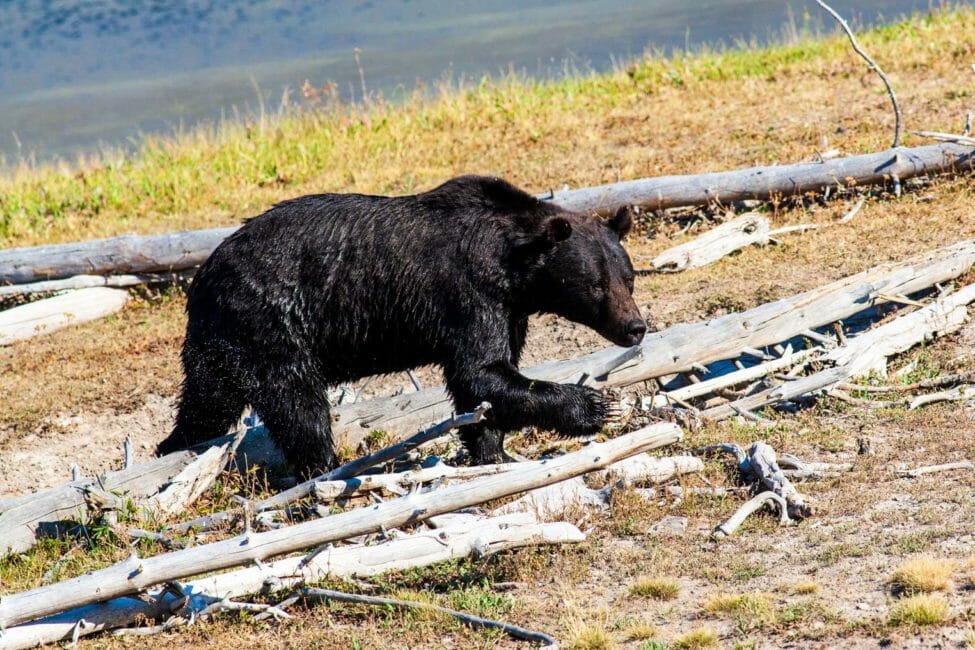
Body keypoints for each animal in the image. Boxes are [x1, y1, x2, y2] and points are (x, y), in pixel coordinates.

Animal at [156, 177, 648, 470]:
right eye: (595, 285)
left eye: (628, 278)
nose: (635, 327)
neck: (513, 270)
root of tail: (204, 276)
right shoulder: (469, 296)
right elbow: (482, 373)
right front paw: (594, 405)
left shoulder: (508, 311)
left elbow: (482, 386)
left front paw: (493, 450)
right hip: (272, 321)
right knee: (297, 404)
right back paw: (324, 468)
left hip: (223, 339)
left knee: (206, 402)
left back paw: (172, 447)